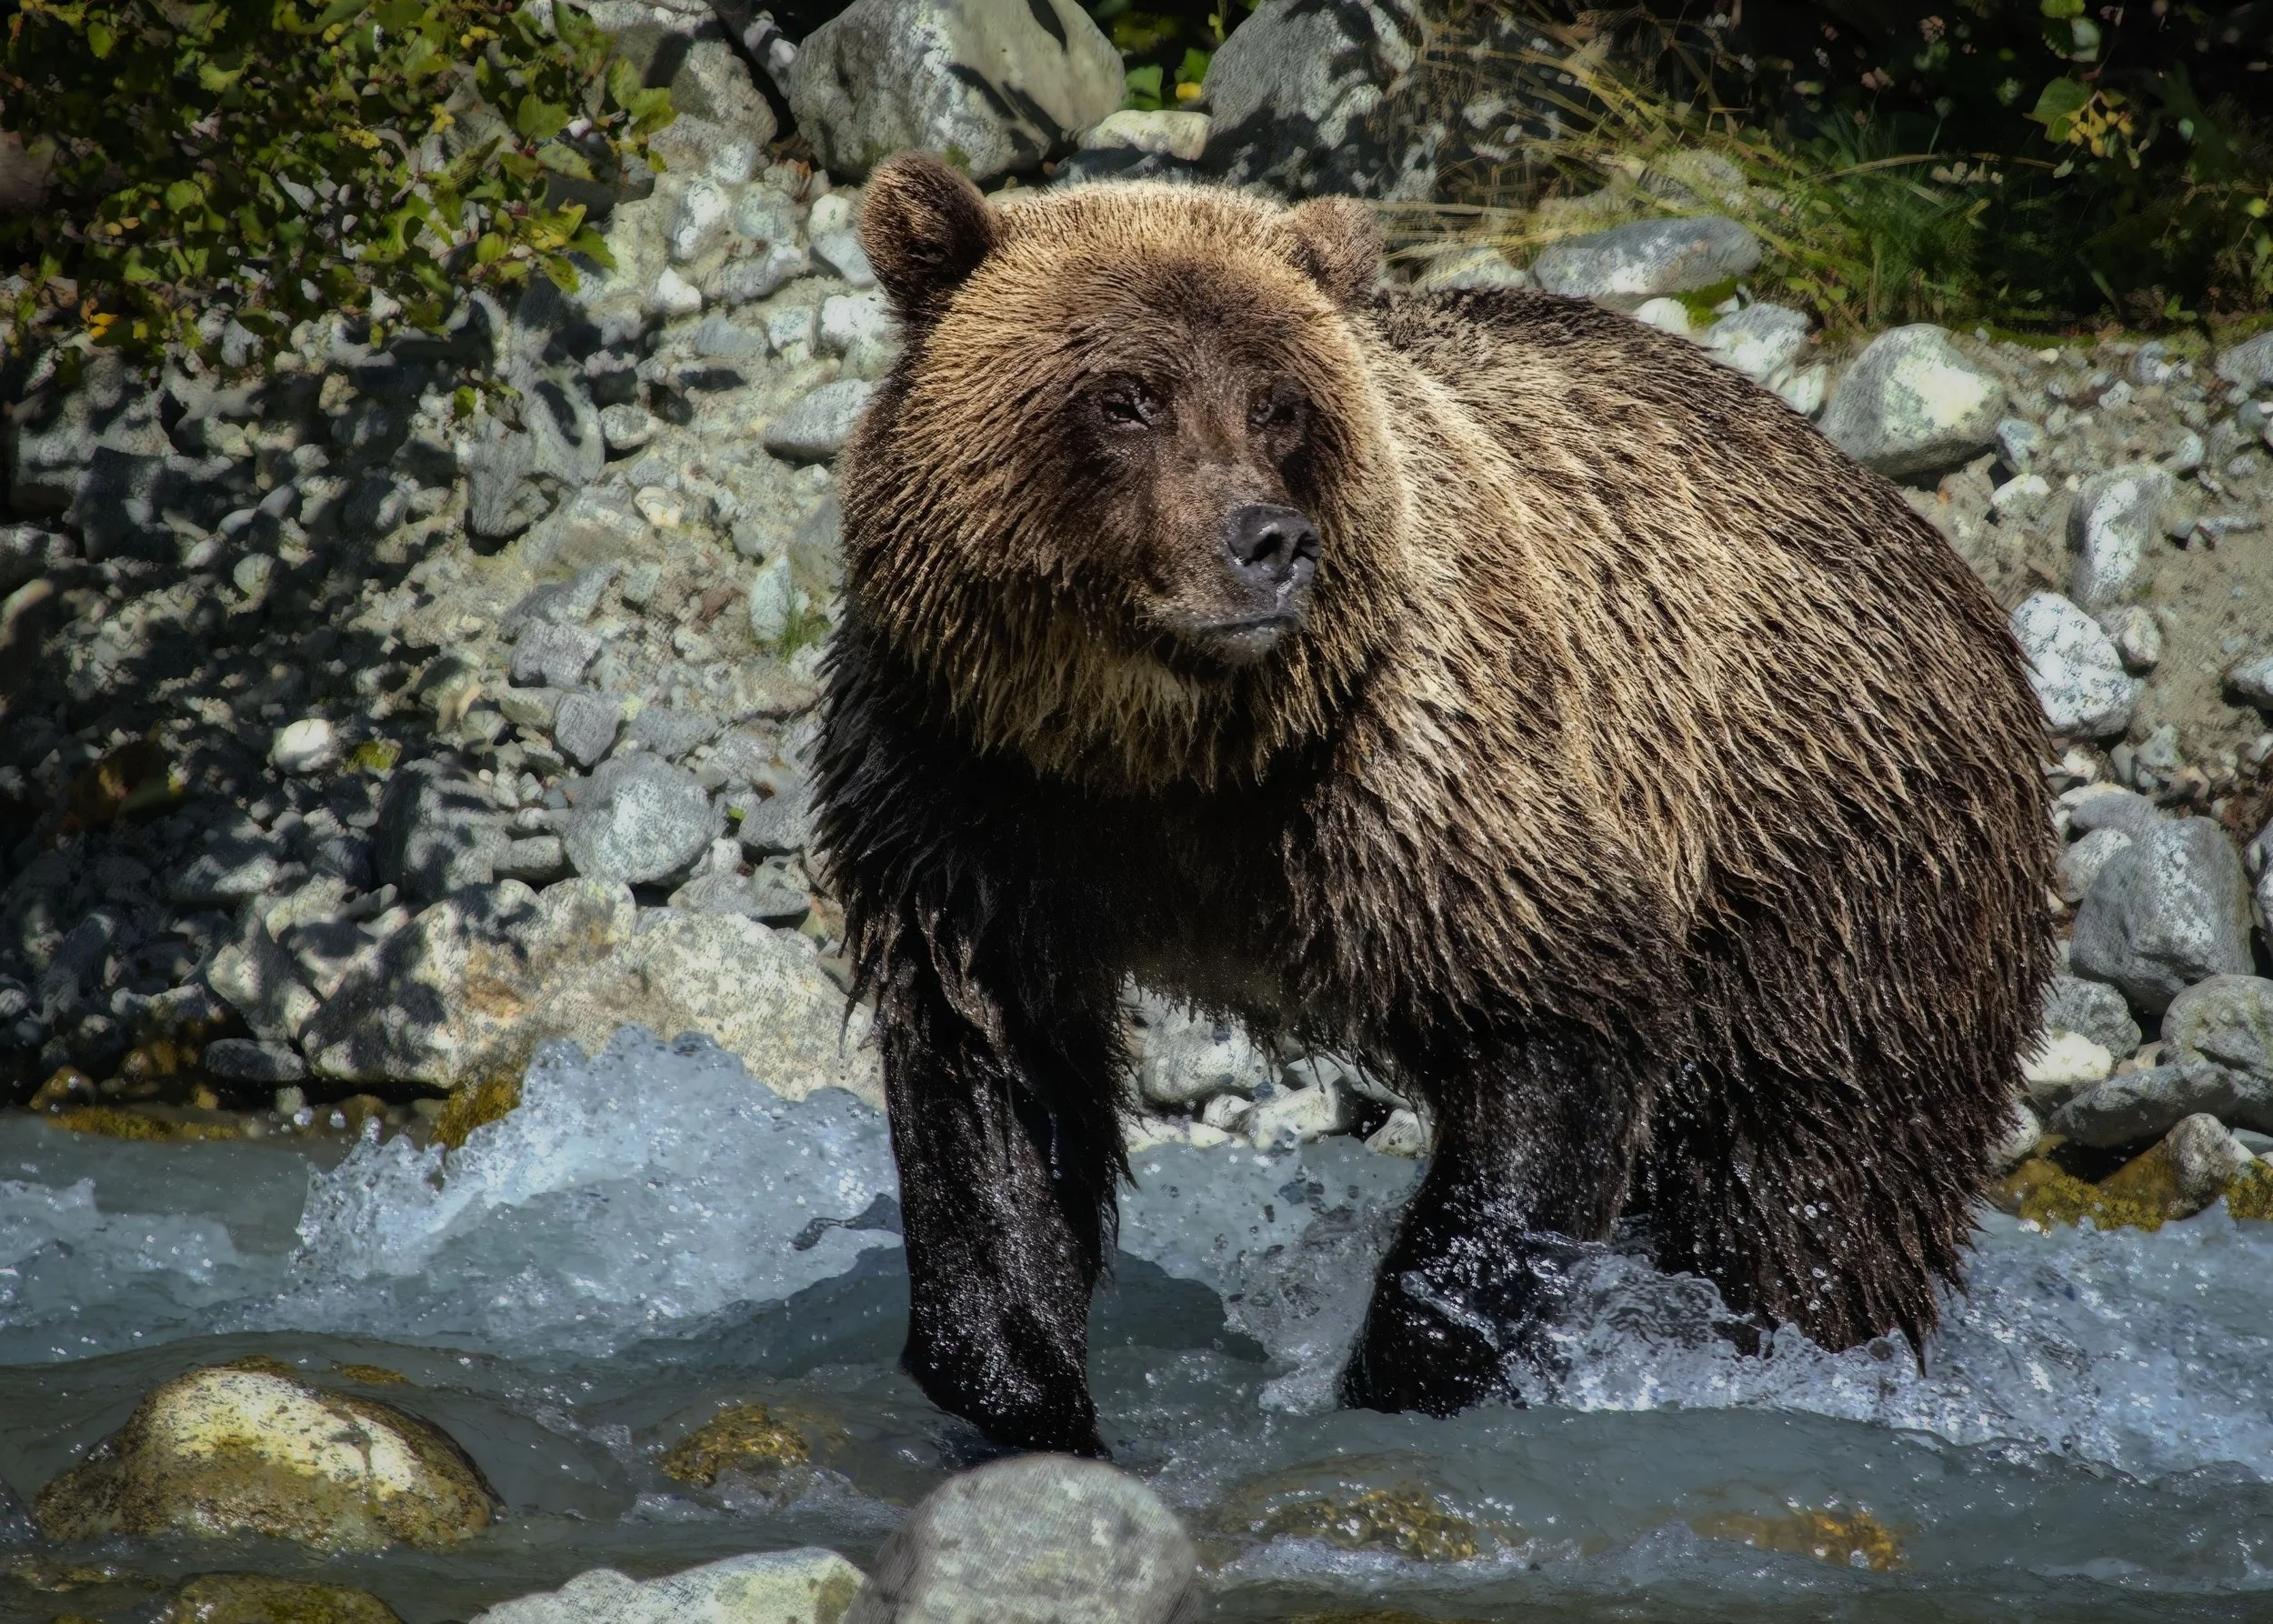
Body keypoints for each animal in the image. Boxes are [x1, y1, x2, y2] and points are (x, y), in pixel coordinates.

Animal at [813, 152, 2057, 1458]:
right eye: (1126, 396)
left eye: (1278, 405)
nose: (1268, 541)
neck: (1157, 753)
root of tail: (1945, 563)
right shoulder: (966, 788)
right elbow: (992, 1084)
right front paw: (1026, 1385)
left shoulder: (1420, 773)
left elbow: (1557, 1019)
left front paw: (1402, 1368)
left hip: (1839, 872)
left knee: (1817, 1182)